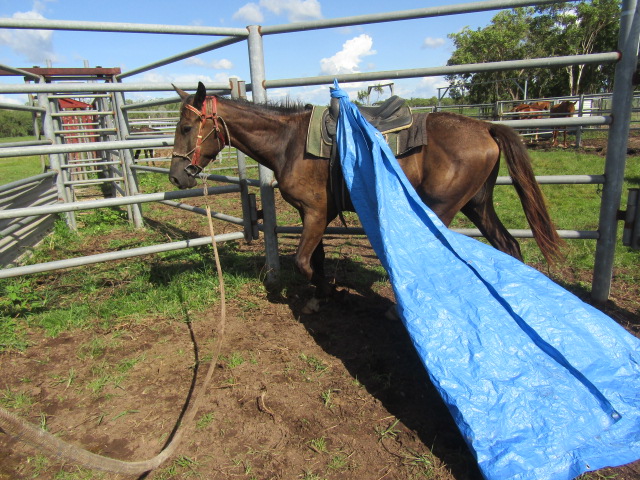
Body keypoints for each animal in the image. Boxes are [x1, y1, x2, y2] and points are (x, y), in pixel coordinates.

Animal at [169, 82, 562, 313]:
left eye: (186, 127)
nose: (176, 176)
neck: (289, 142)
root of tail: (486, 127)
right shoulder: (314, 214)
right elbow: (316, 259)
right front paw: (322, 293)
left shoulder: (315, 212)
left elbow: (303, 261)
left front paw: (331, 293)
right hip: (477, 204)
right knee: (509, 245)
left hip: (443, 207)